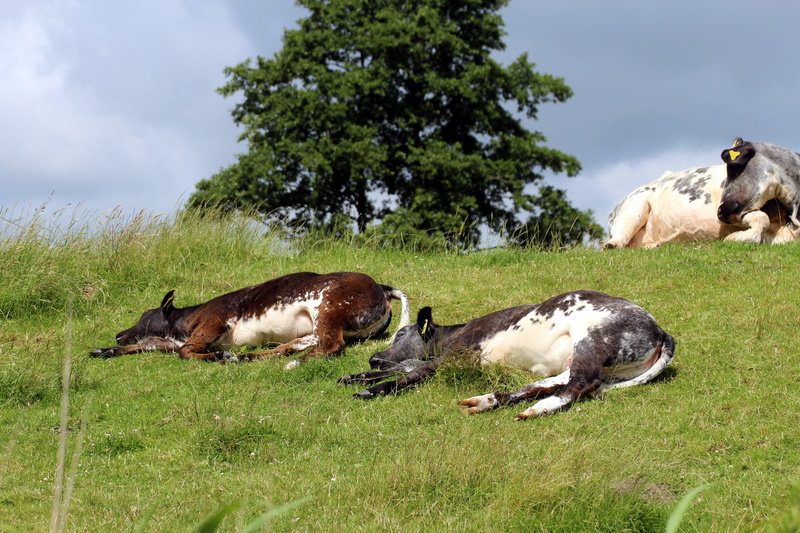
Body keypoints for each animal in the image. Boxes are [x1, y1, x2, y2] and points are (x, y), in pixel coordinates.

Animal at [90, 271, 410, 370]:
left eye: (145, 315)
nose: (118, 334)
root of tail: (382, 287)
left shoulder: (213, 322)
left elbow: (186, 352)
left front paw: (216, 355)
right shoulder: (171, 341)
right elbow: (148, 345)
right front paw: (104, 350)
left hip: (329, 308)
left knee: (332, 345)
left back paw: (295, 364)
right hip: (315, 326)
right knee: (292, 346)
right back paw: (247, 357)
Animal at [338, 290, 675, 420]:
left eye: (401, 334)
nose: (374, 357)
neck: (453, 333)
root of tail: (661, 330)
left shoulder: (456, 355)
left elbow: (413, 371)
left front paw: (373, 389)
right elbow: (405, 367)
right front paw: (356, 375)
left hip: (592, 341)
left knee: (580, 383)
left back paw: (537, 409)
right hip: (584, 359)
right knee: (550, 383)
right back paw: (487, 400)